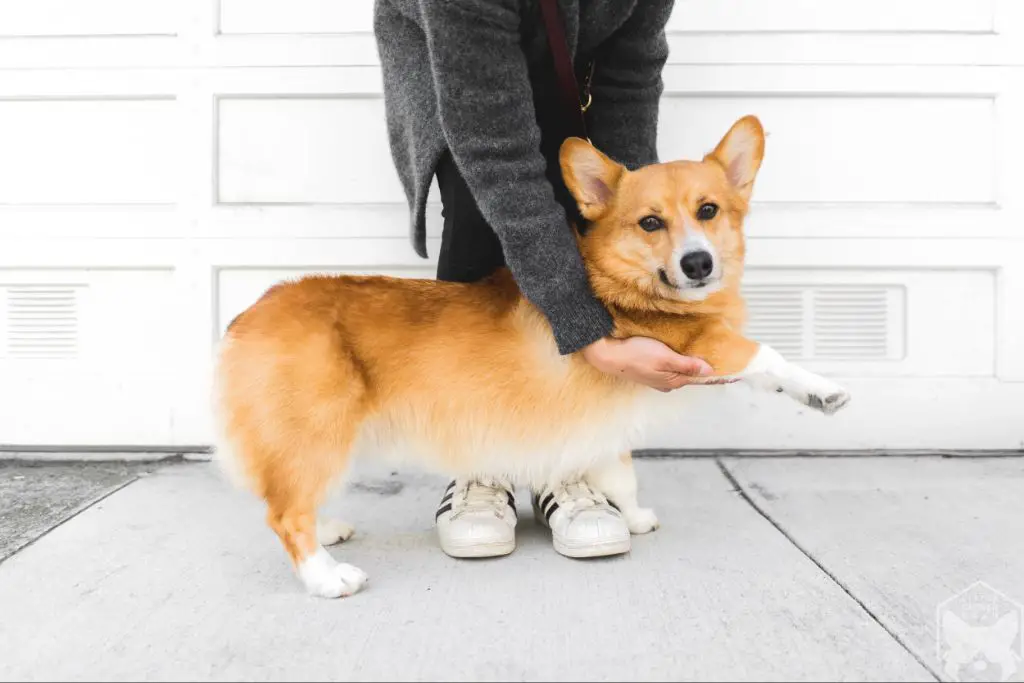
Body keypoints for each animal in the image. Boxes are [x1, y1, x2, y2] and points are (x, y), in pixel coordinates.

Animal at [218, 116, 856, 598]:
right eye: (651, 222)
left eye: (709, 210)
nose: (697, 264)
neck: (614, 283)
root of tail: (247, 316)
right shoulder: (696, 344)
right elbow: (765, 357)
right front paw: (823, 390)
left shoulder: (605, 421)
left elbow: (619, 476)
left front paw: (632, 518)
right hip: (319, 431)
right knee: (286, 515)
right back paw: (328, 578)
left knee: (293, 501)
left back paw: (329, 531)